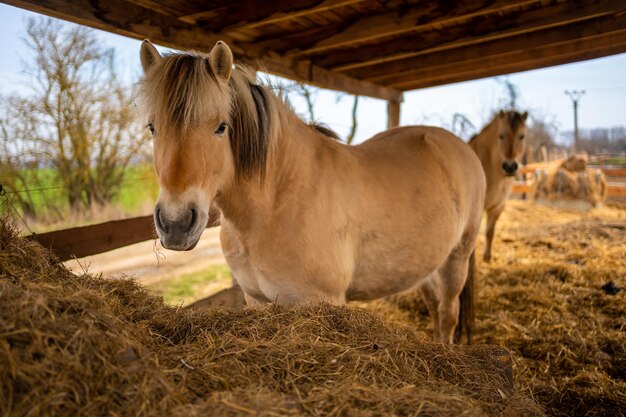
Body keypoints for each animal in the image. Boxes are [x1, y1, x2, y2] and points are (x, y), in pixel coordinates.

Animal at [139, 39, 486, 342]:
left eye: (221, 127)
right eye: (152, 127)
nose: (175, 223)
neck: (277, 202)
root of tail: (463, 149)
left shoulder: (323, 301)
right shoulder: (255, 299)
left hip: (457, 258)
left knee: (448, 313)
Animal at [468, 110, 528, 260]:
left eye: (521, 136)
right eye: (501, 136)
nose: (510, 167)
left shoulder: (498, 206)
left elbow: (490, 232)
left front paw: (487, 257)